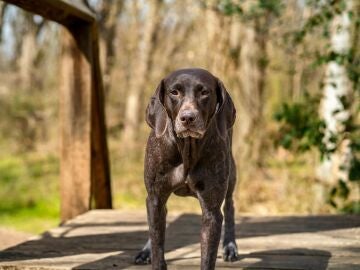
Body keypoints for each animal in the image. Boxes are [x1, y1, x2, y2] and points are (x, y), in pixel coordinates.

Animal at [134, 68, 238, 270]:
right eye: (174, 92)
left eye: (204, 92)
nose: (188, 117)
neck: (187, 148)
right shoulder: (155, 198)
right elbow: (157, 244)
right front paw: (152, 253)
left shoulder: (211, 211)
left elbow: (207, 257)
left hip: (231, 175)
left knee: (229, 205)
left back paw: (230, 246)